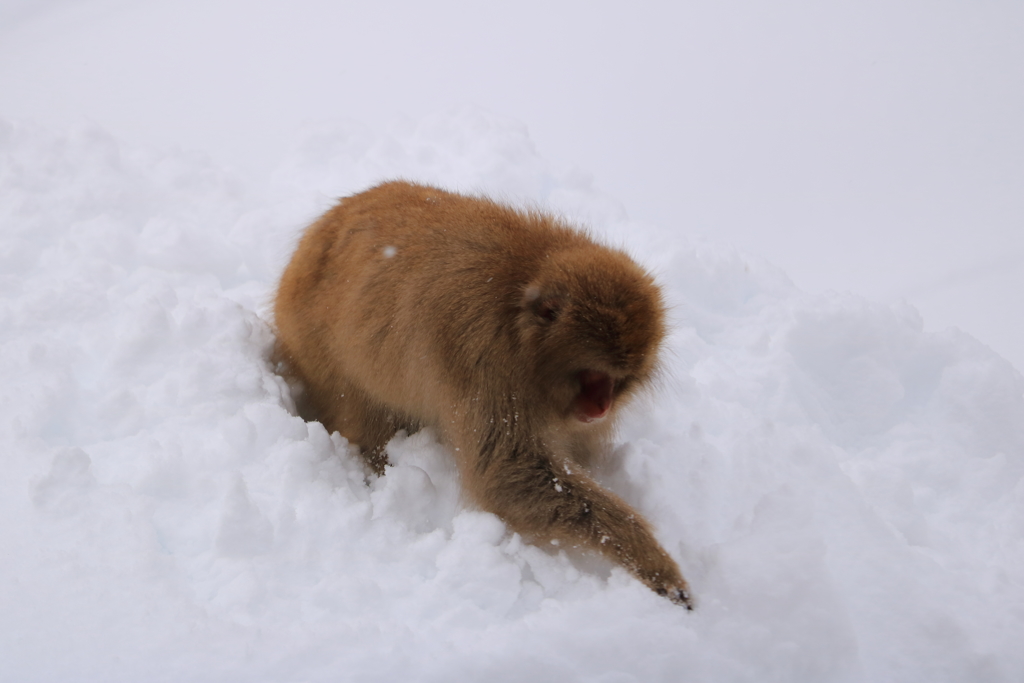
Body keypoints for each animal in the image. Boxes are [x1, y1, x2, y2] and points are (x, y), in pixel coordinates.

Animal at [272, 181, 692, 610]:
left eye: (618, 381)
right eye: (592, 376)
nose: (601, 407)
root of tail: (310, 242)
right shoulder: (486, 358)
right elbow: (508, 476)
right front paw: (651, 560)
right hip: (317, 352)